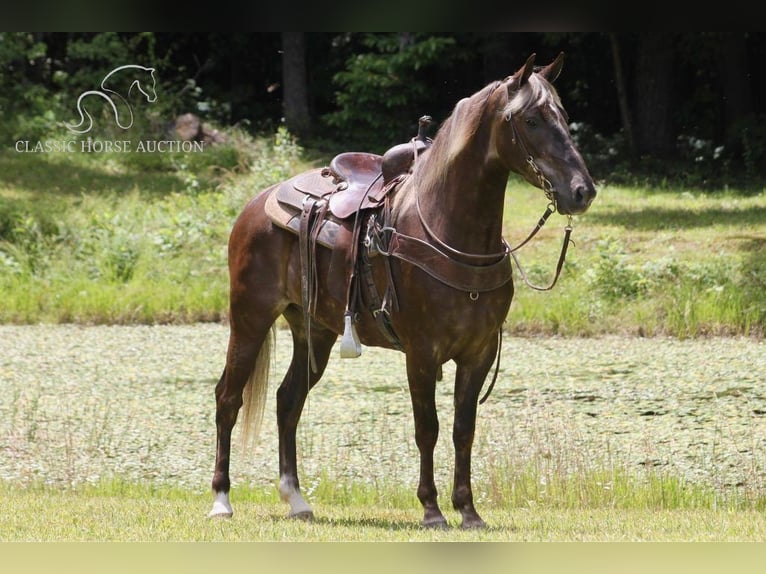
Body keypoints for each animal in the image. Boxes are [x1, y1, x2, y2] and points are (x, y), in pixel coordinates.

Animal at [210, 54, 600, 532]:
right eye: (530, 120)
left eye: (562, 116)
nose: (582, 191)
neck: (450, 229)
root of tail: (256, 204)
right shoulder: (422, 352)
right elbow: (427, 428)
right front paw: (431, 510)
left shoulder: (479, 352)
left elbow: (463, 430)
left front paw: (468, 510)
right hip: (249, 319)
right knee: (228, 398)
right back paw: (222, 500)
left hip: (314, 330)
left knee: (288, 400)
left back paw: (297, 500)